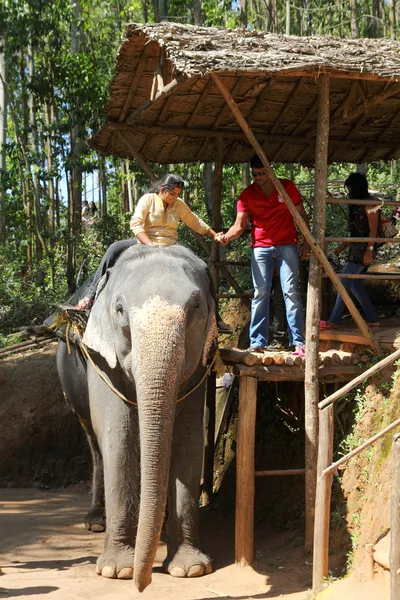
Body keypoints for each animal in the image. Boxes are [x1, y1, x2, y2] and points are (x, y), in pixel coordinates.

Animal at [55, 243, 217, 592]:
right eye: (119, 309)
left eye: (196, 306)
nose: (143, 585)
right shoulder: (103, 361)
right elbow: (120, 439)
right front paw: (116, 571)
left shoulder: (200, 366)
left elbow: (188, 441)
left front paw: (190, 569)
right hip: (70, 380)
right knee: (96, 445)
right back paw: (96, 522)